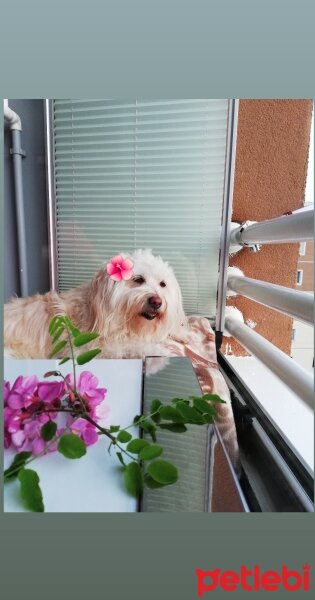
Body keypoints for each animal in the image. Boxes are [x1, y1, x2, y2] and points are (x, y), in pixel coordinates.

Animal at [4, 250, 188, 358]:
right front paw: (161, 350)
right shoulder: (91, 349)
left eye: (163, 284)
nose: (157, 301)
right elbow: (135, 347)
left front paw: (180, 335)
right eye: (138, 280)